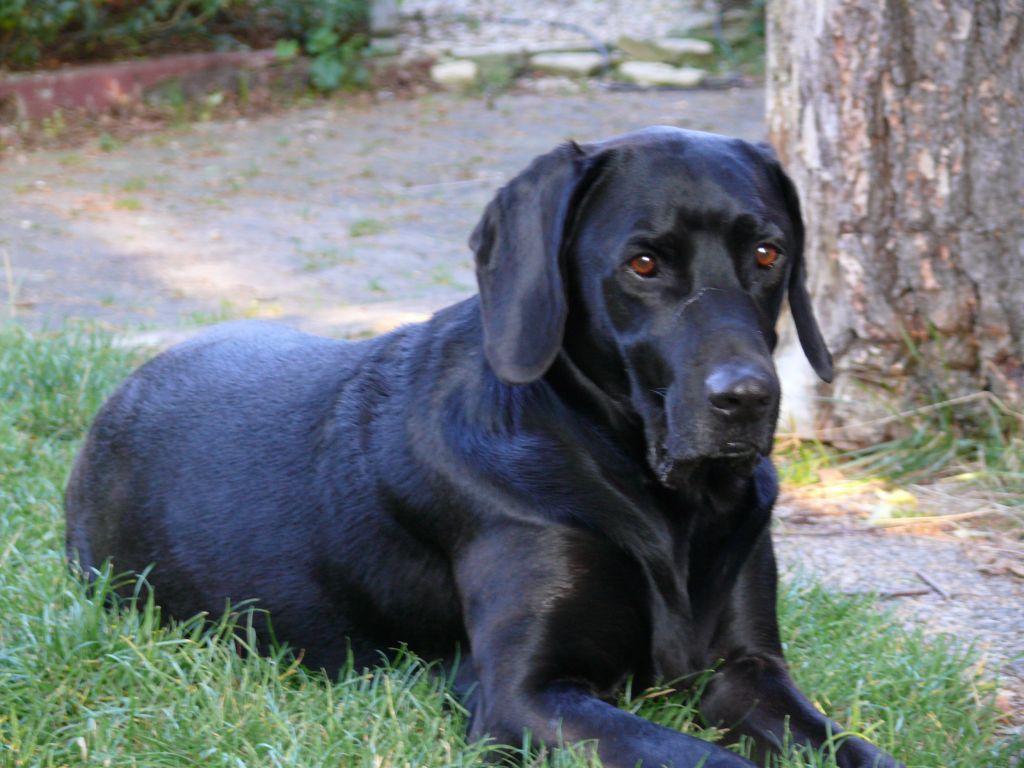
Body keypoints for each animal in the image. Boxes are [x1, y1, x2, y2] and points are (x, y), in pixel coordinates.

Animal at [65, 127, 902, 768]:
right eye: (643, 263)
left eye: (768, 253)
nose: (748, 398)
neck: (662, 501)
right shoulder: (522, 695)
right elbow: (700, 758)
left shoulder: (747, 668)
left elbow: (857, 748)